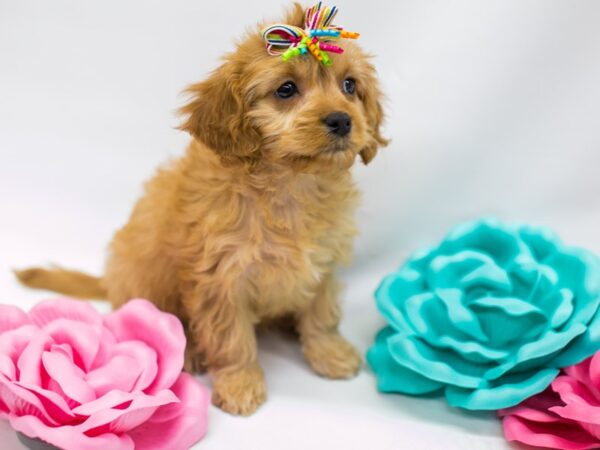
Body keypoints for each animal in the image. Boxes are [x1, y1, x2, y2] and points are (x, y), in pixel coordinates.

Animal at [17, 3, 390, 416]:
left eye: (350, 86)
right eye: (286, 89)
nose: (342, 120)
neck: (290, 184)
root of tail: (111, 280)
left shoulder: (324, 262)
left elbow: (322, 315)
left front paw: (328, 353)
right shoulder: (221, 279)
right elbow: (232, 339)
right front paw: (240, 383)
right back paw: (192, 352)